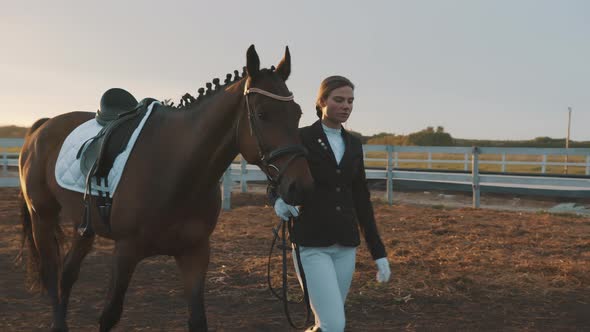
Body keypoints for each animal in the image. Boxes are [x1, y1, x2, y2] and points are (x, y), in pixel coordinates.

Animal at [18, 45, 314, 330]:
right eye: (262, 114)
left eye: (298, 114)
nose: (300, 186)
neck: (175, 170)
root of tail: (42, 126)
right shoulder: (125, 252)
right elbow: (109, 316)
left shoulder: (195, 253)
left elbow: (198, 320)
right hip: (42, 217)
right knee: (51, 273)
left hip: (84, 225)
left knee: (67, 274)